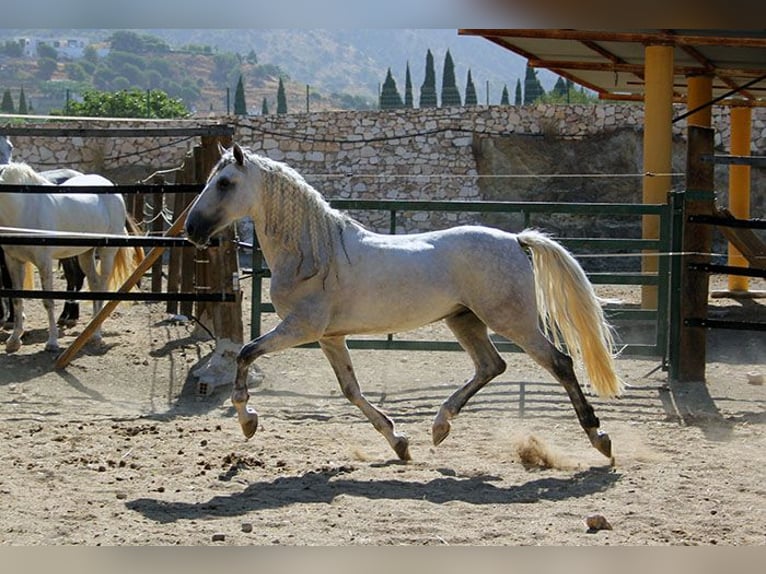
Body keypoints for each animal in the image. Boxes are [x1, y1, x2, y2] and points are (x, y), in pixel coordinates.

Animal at [0, 161, 144, 352]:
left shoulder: (44, 262)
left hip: (107, 252)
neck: (23, 207)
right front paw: (14, 340)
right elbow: (17, 298)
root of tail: (110, 185)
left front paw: (52, 342)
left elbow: (48, 301)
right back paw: (90, 330)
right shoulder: (13, 260)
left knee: (102, 285)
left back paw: (96, 335)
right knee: (94, 283)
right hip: (85, 254)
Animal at [188, 145, 624, 464]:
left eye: (224, 183)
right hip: (464, 321)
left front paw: (247, 420)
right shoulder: (331, 337)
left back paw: (600, 438)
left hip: (513, 322)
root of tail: (516, 240)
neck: (315, 255)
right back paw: (439, 427)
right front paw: (399, 442)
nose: (192, 230)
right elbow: (351, 390)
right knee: (491, 366)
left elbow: (246, 352)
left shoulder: (301, 328)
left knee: (559, 363)